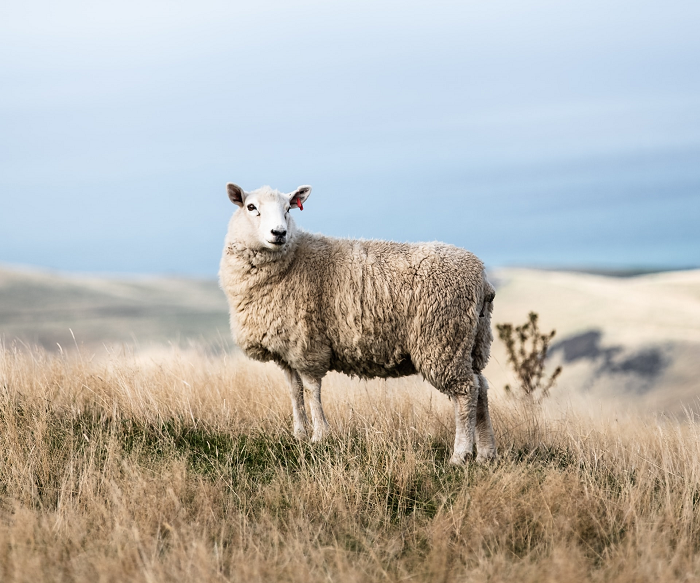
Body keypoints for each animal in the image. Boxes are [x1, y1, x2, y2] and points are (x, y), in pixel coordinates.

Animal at [219, 184, 498, 466]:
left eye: (288, 208)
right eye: (251, 207)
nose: (279, 233)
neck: (293, 259)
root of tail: (481, 278)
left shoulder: (308, 345)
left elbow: (311, 390)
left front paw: (319, 436)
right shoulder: (287, 349)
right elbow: (294, 391)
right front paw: (299, 434)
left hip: (443, 339)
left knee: (465, 391)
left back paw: (460, 455)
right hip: (472, 342)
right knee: (481, 387)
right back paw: (486, 453)